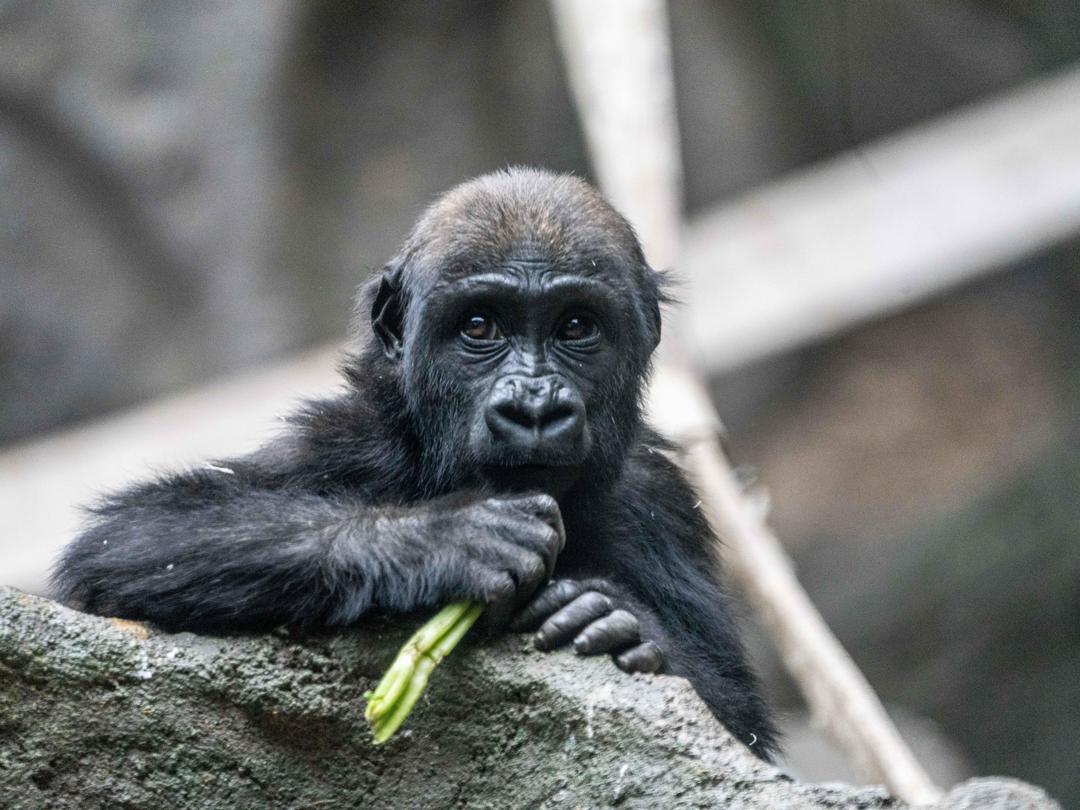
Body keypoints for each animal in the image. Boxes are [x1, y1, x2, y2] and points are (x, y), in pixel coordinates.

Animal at [51, 167, 778, 758]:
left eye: (576, 327)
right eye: (481, 326)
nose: (534, 408)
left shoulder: (660, 498)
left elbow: (739, 719)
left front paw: (617, 622)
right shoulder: (343, 440)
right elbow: (132, 539)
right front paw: (445, 539)